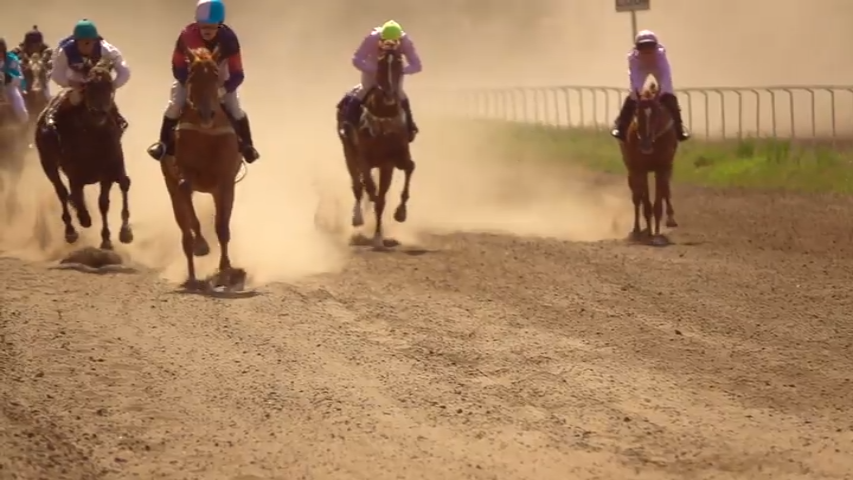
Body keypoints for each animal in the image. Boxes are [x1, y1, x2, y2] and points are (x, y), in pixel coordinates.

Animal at [34, 57, 133, 250]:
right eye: (88, 85)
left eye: (109, 84)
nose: (99, 111)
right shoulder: (75, 174)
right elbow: (76, 196)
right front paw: (84, 218)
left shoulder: (107, 171)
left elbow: (103, 203)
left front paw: (108, 238)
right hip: (47, 163)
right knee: (61, 191)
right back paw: (71, 230)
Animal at [160, 46, 245, 291]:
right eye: (191, 76)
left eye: (216, 74)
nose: (206, 114)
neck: (206, 133)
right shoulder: (184, 174)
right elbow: (189, 207)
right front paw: (201, 244)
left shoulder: (225, 182)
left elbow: (222, 228)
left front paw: (226, 270)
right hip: (170, 184)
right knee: (184, 232)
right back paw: (191, 274)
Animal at [337, 39, 415, 249]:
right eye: (380, 64)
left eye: (399, 63)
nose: (389, 95)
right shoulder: (363, 158)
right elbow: (370, 190)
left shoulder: (391, 161)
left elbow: (383, 196)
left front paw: (397, 217)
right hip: (348, 152)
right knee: (357, 185)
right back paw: (357, 217)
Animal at [619, 80, 679, 246]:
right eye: (637, 113)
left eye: (657, 113)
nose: (645, 146)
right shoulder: (639, 169)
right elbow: (642, 200)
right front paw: (642, 230)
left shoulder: (662, 167)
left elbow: (659, 200)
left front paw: (657, 234)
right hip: (632, 170)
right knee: (637, 197)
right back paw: (640, 229)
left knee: (666, 190)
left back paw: (669, 220)